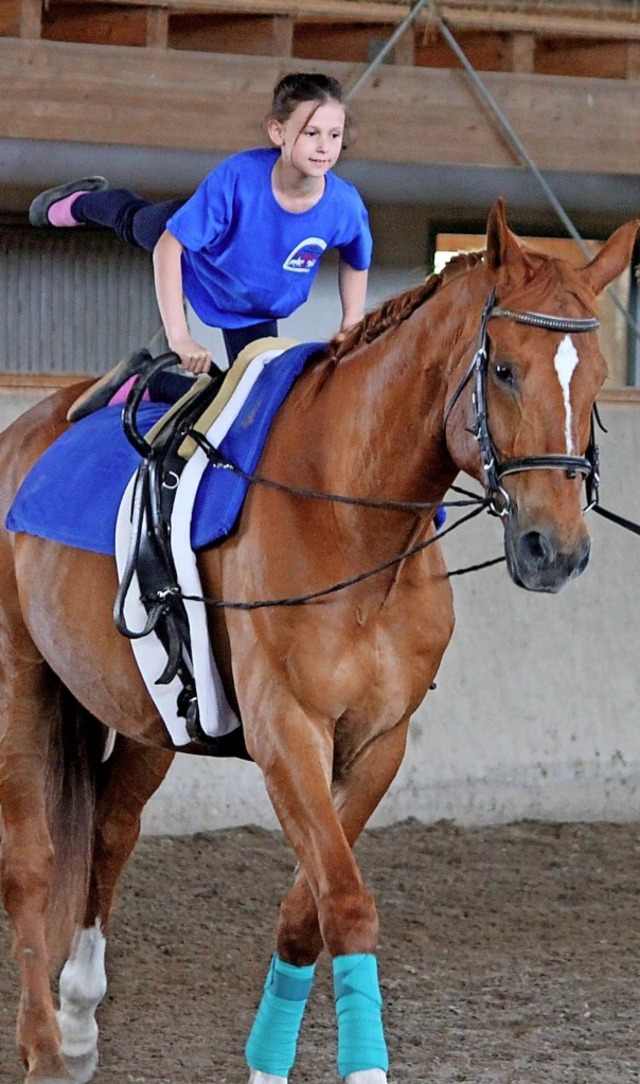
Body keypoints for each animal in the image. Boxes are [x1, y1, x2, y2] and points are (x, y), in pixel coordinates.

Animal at [0, 197, 637, 1084]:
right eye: (506, 370)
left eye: (602, 375)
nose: (558, 551)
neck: (349, 515)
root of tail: (30, 431)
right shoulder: (287, 732)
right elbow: (345, 903)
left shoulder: (376, 743)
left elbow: (308, 911)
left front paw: (267, 1062)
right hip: (21, 679)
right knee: (30, 863)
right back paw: (42, 1045)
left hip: (147, 713)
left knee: (109, 833)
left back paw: (80, 1017)